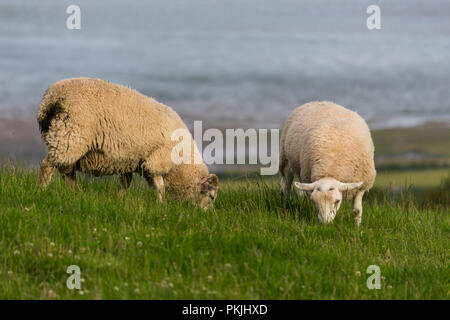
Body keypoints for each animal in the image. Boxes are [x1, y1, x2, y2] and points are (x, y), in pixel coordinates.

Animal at [38, 77, 218, 208]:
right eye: (211, 196)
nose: (206, 215)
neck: (180, 164)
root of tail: (51, 97)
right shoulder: (155, 162)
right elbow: (160, 187)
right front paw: (162, 206)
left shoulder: (132, 162)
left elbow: (126, 183)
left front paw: (120, 200)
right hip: (69, 136)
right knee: (47, 165)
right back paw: (42, 190)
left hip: (66, 139)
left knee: (67, 172)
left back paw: (76, 193)